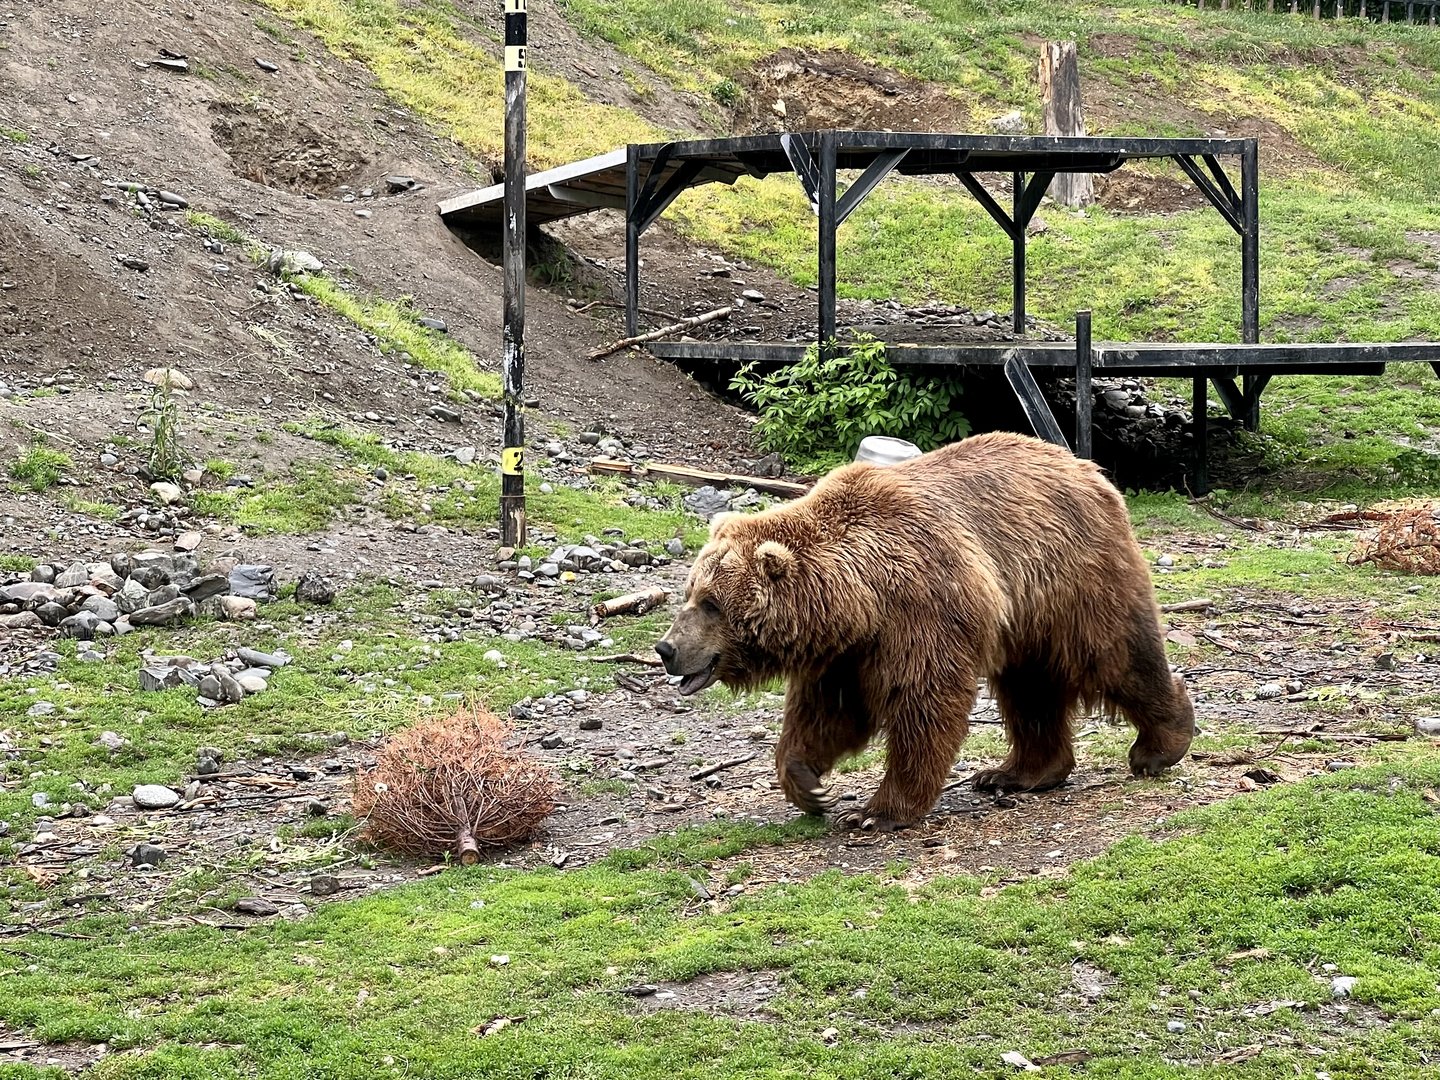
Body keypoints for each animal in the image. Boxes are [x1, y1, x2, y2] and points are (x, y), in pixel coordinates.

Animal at [654, 431, 1194, 832]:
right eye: (690, 592)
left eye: (712, 604)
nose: (666, 649)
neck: (857, 597)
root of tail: (1086, 466)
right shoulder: (847, 651)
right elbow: (828, 712)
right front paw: (809, 785)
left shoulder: (920, 604)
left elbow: (923, 699)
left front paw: (875, 811)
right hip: (1025, 616)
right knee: (1030, 686)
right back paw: (1016, 773)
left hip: (1073, 579)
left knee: (1115, 654)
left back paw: (1160, 744)